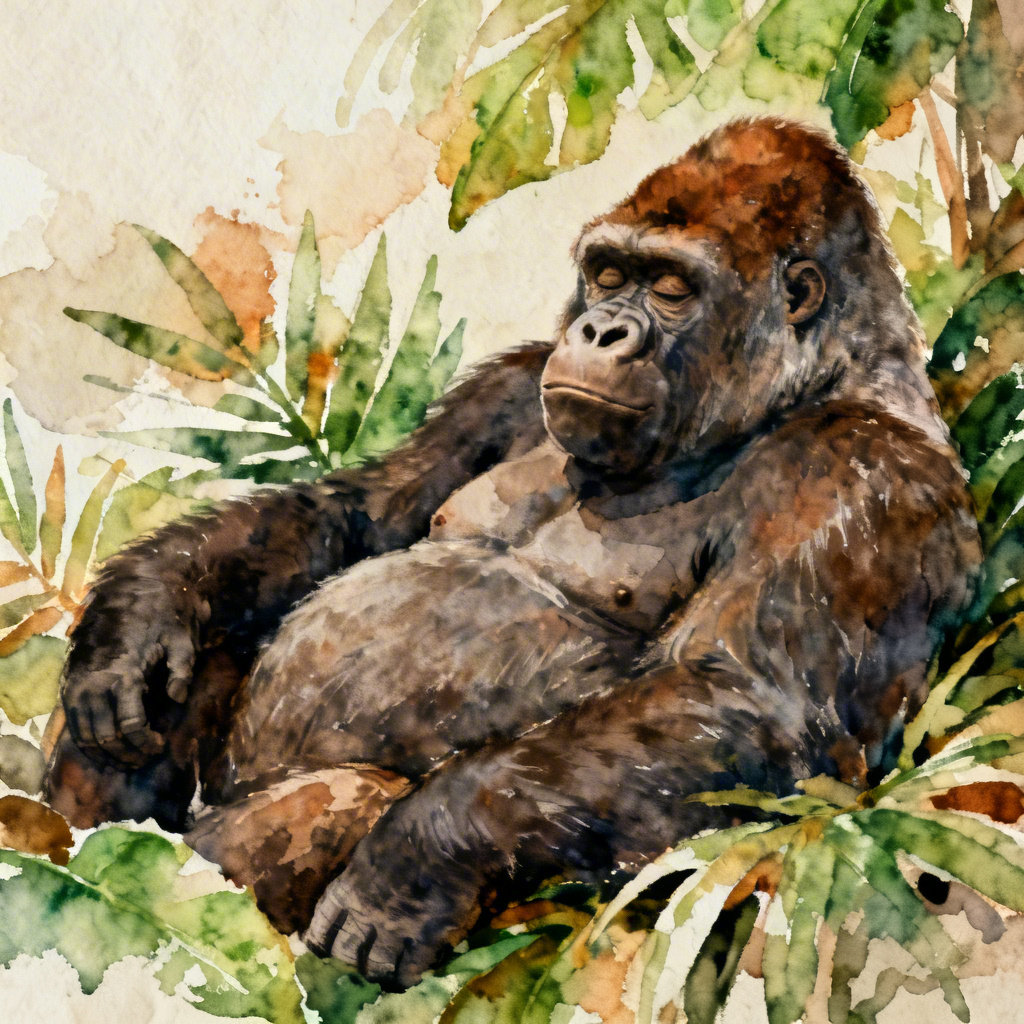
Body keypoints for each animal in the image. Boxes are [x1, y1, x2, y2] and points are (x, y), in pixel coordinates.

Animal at [45, 118, 982, 987]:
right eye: (608, 274)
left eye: (672, 288)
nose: (601, 331)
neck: (816, 380)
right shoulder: (510, 386)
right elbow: (359, 514)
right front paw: (145, 600)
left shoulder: (863, 475)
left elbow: (749, 703)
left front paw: (421, 852)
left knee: (340, 800)